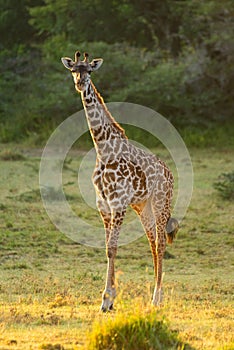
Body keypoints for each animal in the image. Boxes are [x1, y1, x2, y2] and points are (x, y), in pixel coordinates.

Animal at [61, 50, 178, 310]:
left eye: (89, 70)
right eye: (73, 69)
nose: (80, 83)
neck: (104, 150)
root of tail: (169, 173)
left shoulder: (118, 203)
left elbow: (112, 248)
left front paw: (107, 299)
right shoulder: (103, 205)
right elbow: (108, 248)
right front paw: (109, 299)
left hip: (161, 203)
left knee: (161, 243)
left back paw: (157, 298)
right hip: (142, 206)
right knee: (152, 242)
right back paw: (154, 295)